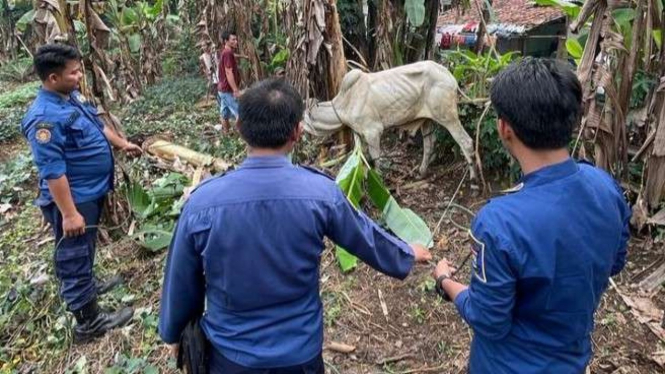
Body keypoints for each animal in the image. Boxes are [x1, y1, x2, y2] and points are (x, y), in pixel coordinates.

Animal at [304, 60, 474, 182]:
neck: (344, 103)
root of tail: (450, 76)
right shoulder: (358, 134)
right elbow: (361, 158)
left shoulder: (373, 131)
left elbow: (375, 157)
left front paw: (379, 179)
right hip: (427, 120)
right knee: (429, 144)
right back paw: (421, 172)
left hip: (448, 117)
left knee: (466, 142)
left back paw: (473, 179)